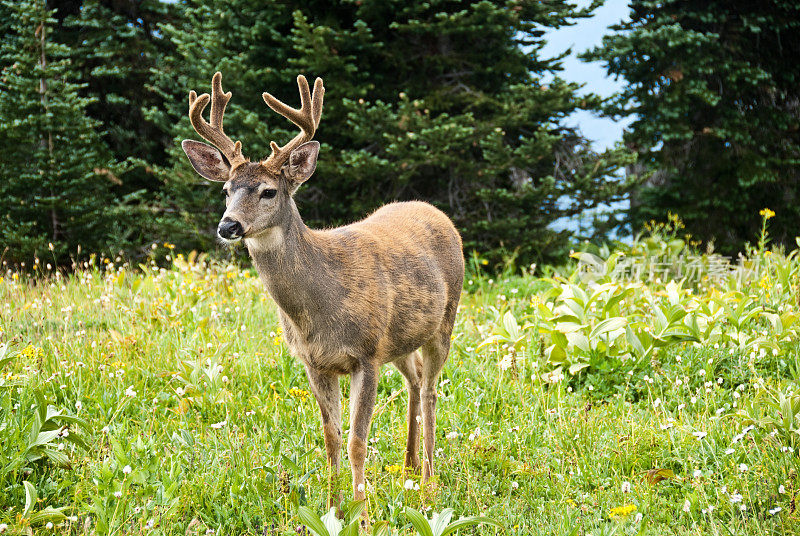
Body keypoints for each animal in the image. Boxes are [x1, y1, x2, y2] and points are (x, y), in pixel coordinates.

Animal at [182, 72, 466, 510]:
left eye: (268, 191)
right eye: (226, 189)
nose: (228, 226)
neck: (321, 303)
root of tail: (435, 211)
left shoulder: (366, 354)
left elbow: (355, 443)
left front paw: (362, 511)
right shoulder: (315, 362)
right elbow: (331, 438)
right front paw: (333, 508)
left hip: (443, 322)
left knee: (433, 389)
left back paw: (430, 481)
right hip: (400, 339)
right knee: (416, 381)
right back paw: (409, 465)